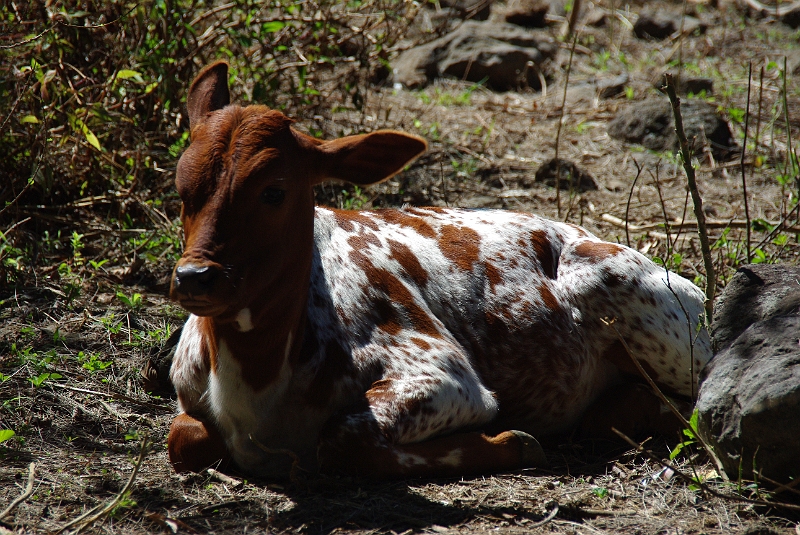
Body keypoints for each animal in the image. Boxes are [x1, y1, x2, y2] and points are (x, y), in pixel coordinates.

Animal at [167, 60, 712, 480]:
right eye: (181, 186)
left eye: (274, 191)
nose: (195, 278)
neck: (258, 386)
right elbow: (185, 439)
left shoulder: (447, 376)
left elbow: (345, 438)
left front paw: (514, 442)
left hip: (640, 308)